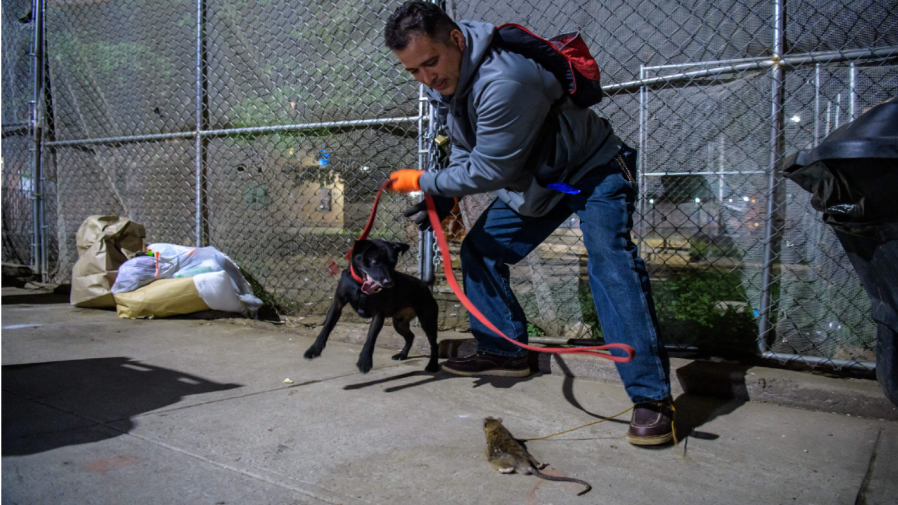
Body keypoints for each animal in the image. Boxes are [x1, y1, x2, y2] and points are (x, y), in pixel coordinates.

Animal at [302, 238, 440, 372]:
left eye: (393, 263)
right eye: (374, 261)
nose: (388, 282)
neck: (359, 286)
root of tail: (424, 284)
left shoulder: (378, 314)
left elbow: (371, 338)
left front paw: (365, 362)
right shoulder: (337, 304)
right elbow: (326, 328)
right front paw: (314, 350)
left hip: (428, 320)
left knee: (434, 344)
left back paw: (432, 365)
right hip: (399, 323)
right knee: (411, 337)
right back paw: (402, 355)